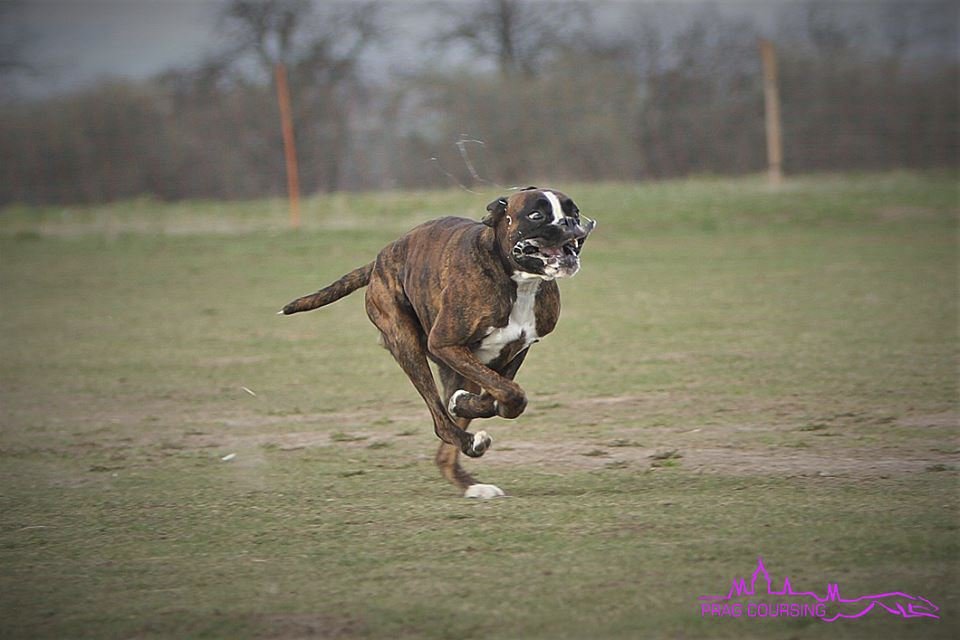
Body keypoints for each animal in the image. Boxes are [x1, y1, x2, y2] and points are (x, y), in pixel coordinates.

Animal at [280, 188, 592, 498]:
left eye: (574, 212)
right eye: (536, 215)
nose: (570, 223)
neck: (516, 279)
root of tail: (381, 259)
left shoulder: (514, 350)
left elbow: (502, 395)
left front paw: (464, 404)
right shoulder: (445, 344)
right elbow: (511, 394)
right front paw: (466, 407)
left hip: (456, 365)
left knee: (448, 440)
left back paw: (471, 482)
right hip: (407, 344)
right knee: (440, 421)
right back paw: (469, 443)